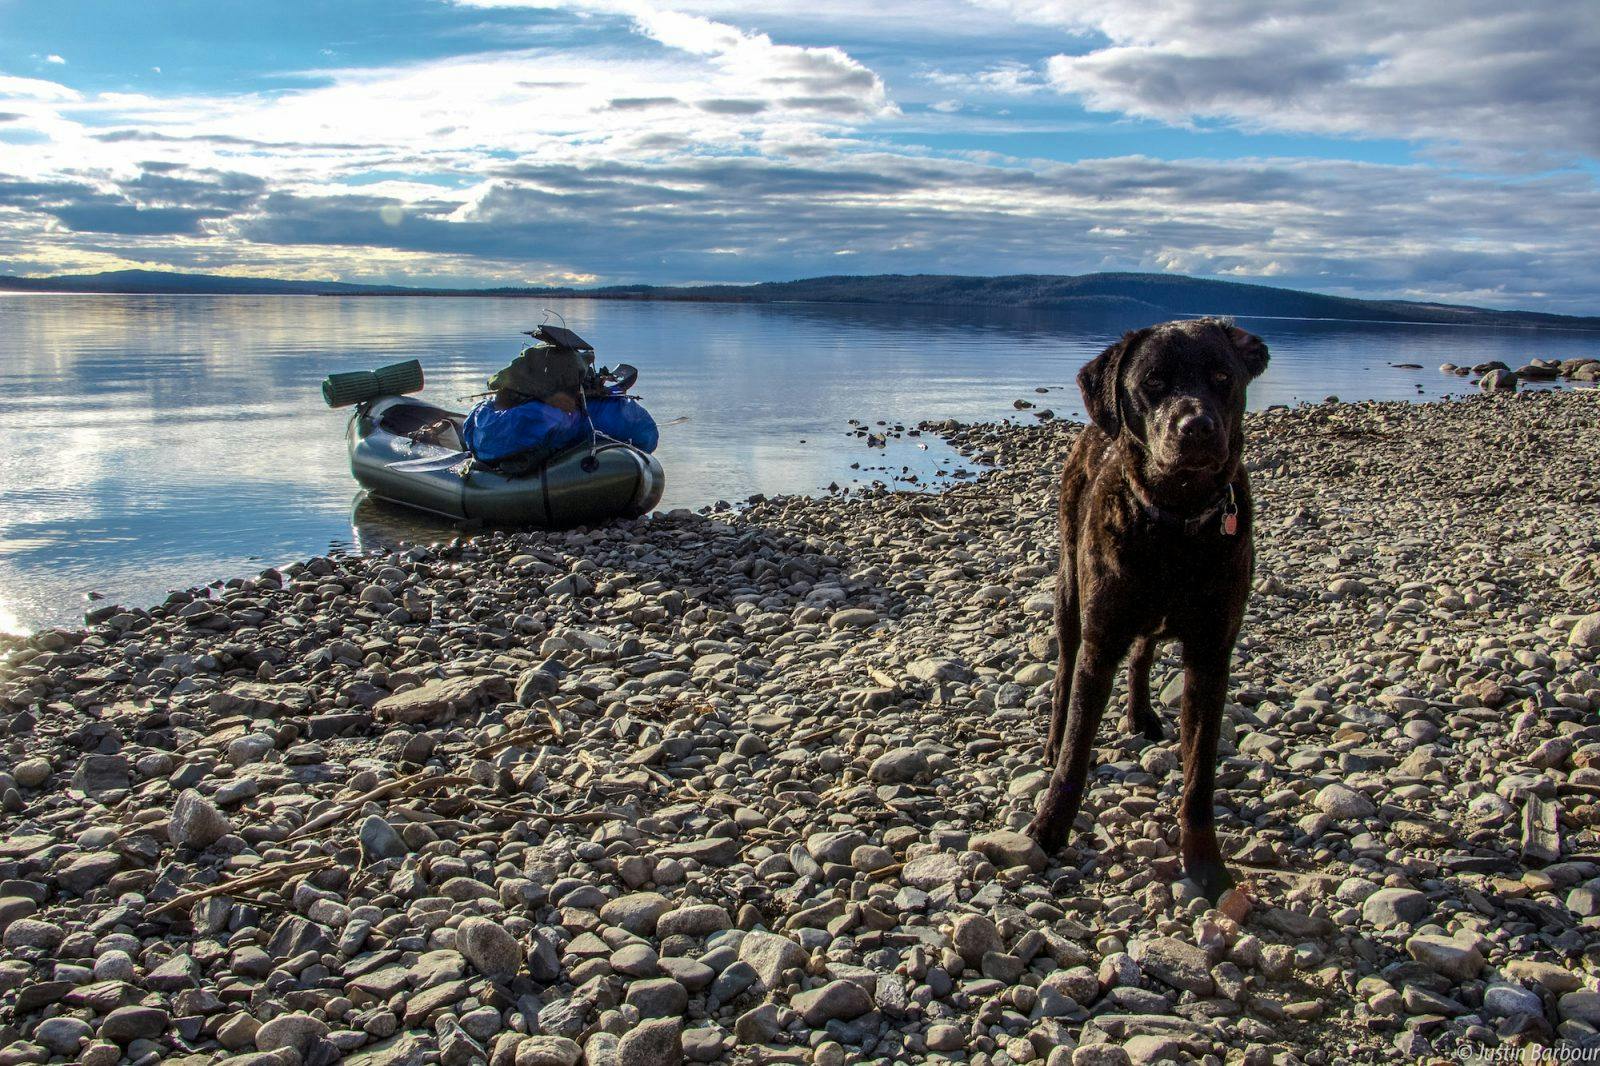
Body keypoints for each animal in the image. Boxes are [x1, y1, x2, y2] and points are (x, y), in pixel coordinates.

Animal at [1024, 316, 1273, 896]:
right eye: (1154, 382)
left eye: (1223, 376)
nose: (1196, 426)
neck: (1177, 519)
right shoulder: (1100, 643)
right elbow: (1075, 757)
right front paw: (1048, 831)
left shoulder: (1211, 652)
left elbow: (1200, 775)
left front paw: (1205, 865)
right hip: (1070, 591)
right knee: (1064, 667)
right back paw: (1052, 738)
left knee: (1144, 653)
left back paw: (1143, 715)